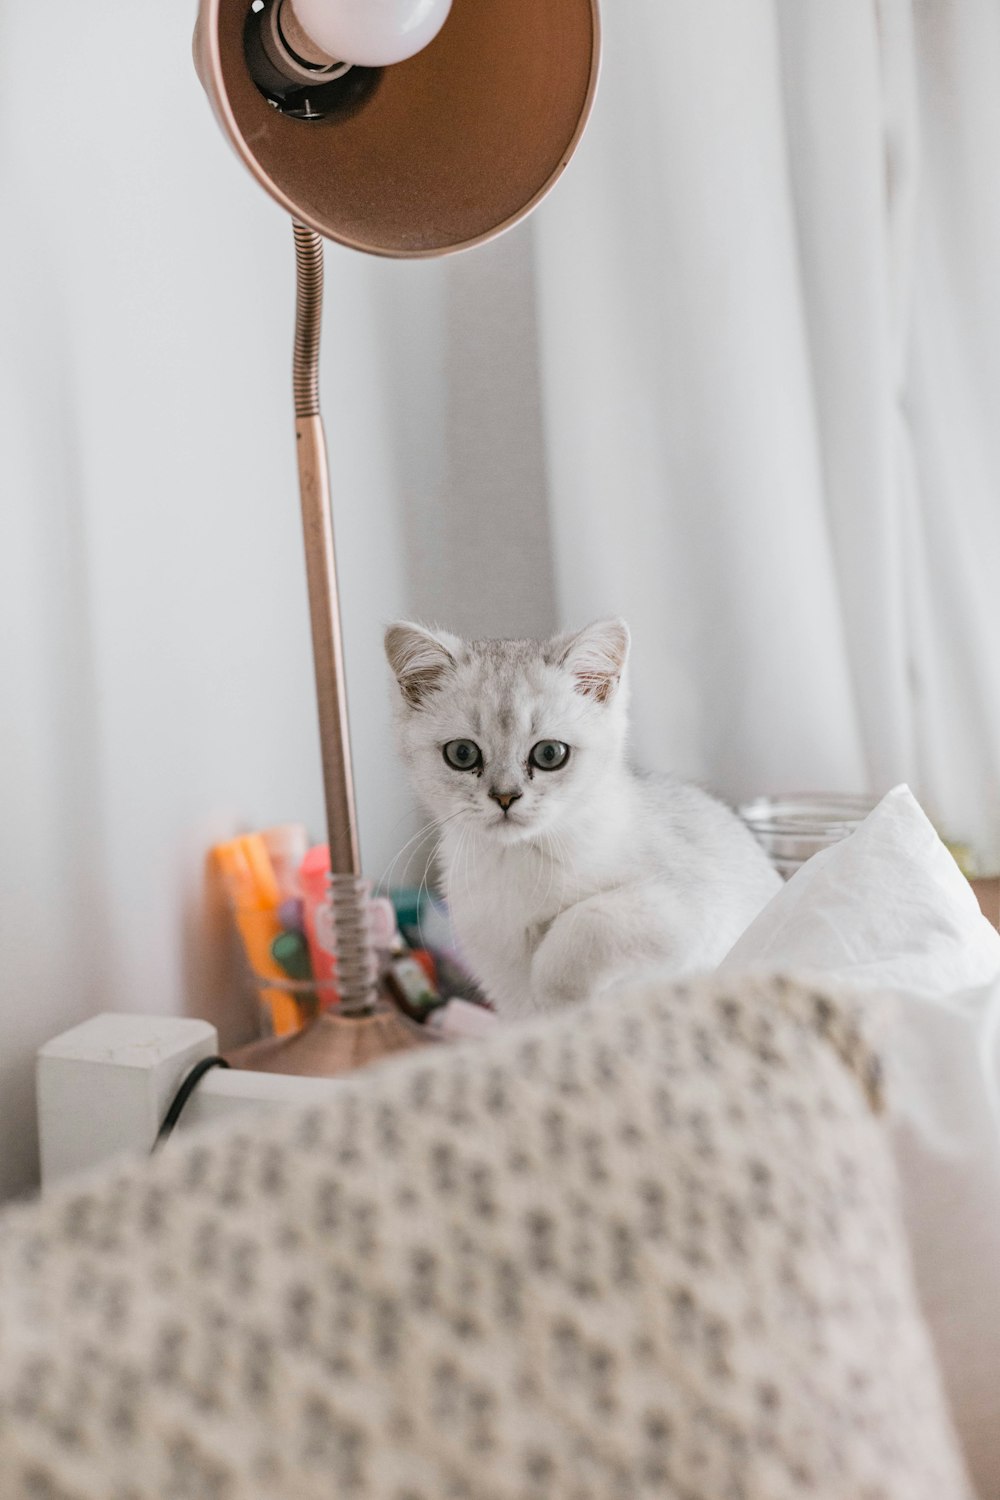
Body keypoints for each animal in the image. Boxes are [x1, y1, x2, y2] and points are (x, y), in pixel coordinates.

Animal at [383, 612, 779, 1020]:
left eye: (550, 754)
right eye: (462, 754)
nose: (505, 797)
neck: (518, 860)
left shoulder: (688, 904)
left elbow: (582, 925)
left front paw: (556, 996)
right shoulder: (499, 979)